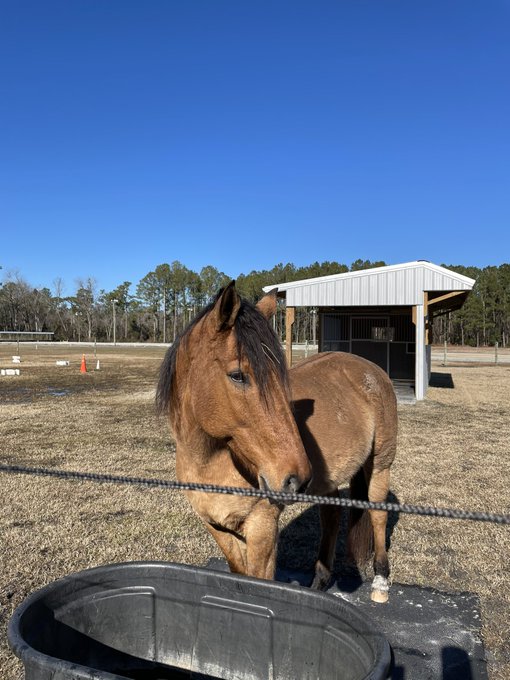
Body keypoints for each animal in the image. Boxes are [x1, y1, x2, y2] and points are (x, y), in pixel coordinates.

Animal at [157, 282, 397, 603]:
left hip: (381, 464)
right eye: (238, 375)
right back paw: (320, 581)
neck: (209, 464)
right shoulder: (218, 527)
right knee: (331, 515)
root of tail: (371, 368)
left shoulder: (262, 528)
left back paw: (380, 583)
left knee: (378, 513)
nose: (296, 478)